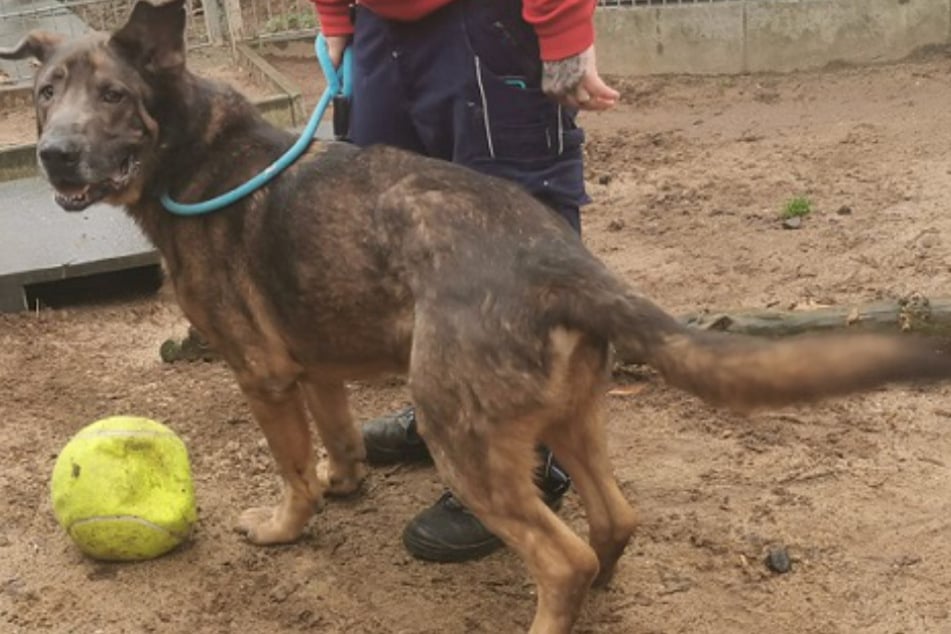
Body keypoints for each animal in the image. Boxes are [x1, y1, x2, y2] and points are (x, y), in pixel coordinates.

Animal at [5, 2, 951, 628]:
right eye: (47, 92)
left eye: (114, 96)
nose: (52, 156)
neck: (192, 150)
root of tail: (561, 261)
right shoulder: (316, 364)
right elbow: (334, 439)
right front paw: (347, 482)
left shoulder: (262, 376)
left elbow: (290, 470)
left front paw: (283, 526)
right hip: (567, 415)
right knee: (612, 523)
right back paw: (601, 594)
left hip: (458, 430)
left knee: (562, 556)